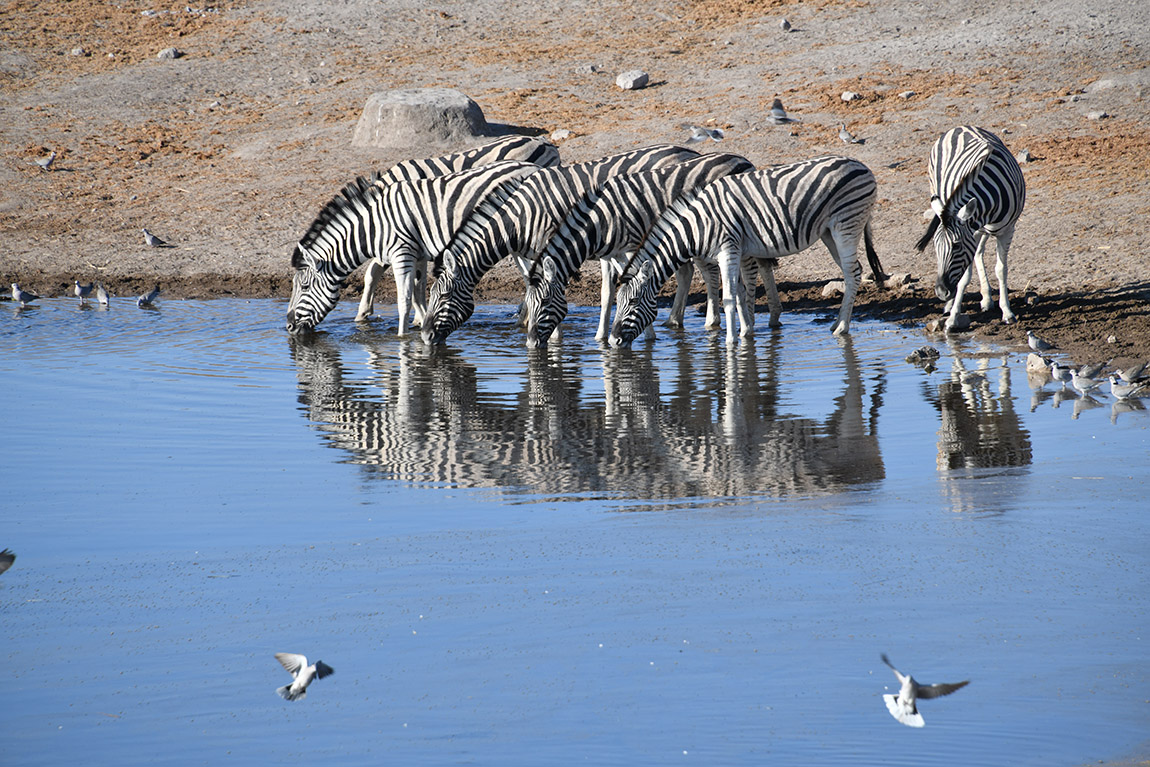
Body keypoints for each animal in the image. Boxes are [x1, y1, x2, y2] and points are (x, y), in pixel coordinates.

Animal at [285, 161, 541, 335]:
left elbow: (404, 300)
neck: (374, 226)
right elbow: (418, 293)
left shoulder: (402, 254)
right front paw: (423, 325)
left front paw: (402, 338)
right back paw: (523, 323)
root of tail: (531, 166)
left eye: (305, 287)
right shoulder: (417, 254)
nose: (288, 326)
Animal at [419, 144, 704, 345]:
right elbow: (531, 284)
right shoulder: (530, 252)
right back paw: (674, 322)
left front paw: (554, 336)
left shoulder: (549, 246)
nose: (424, 337)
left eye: (443, 296)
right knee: (686, 269)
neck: (519, 217)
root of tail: (689, 151)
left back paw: (675, 322)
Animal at [521, 152, 756, 348]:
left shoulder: (630, 247)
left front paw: (646, 335)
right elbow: (611, 292)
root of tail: (743, 159)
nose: (530, 344)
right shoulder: (613, 254)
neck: (600, 220)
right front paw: (602, 337)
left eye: (544, 301)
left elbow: (632, 284)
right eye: (529, 304)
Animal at [609, 156, 886, 347]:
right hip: (829, 232)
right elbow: (742, 294)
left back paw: (842, 328)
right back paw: (836, 323)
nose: (613, 341)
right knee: (853, 271)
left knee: (852, 273)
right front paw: (746, 333)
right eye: (617, 303)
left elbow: (729, 297)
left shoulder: (728, 249)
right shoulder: (740, 252)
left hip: (846, 225)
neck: (698, 225)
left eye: (633, 302)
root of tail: (861, 164)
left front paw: (731, 341)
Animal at [915, 125, 1025, 331]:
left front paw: (1007, 312)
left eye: (956, 245)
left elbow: (1001, 269)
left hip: (984, 230)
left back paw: (986, 299)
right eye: (935, 247)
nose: (941, 292)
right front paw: (953, 317)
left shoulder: (1007, 230)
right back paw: (952, 305)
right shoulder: (972, 232)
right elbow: (964, 278)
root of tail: (959, 127)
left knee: (979, 252)